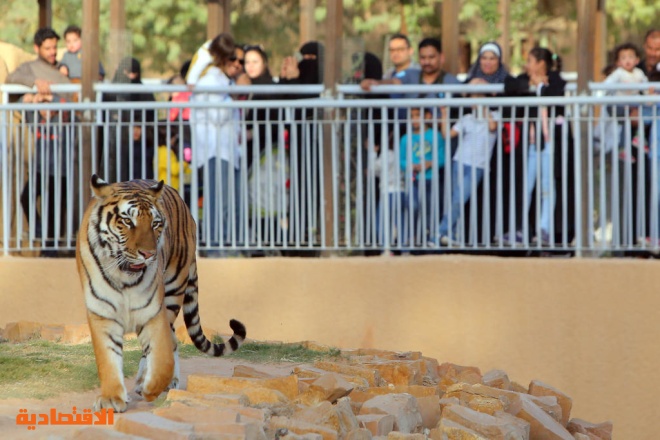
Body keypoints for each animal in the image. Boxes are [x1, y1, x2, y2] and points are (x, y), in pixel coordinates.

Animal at [75, 175, 245, 412]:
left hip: (174, 291)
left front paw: (151, 388)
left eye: (155, 224)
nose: (148, 254)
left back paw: (155, 381)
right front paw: (111, 398)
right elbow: (107, 359)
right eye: (127, 221)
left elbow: (162, 359)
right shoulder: (103, 313)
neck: (123, 277)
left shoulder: (153, 312)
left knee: (170, 341)